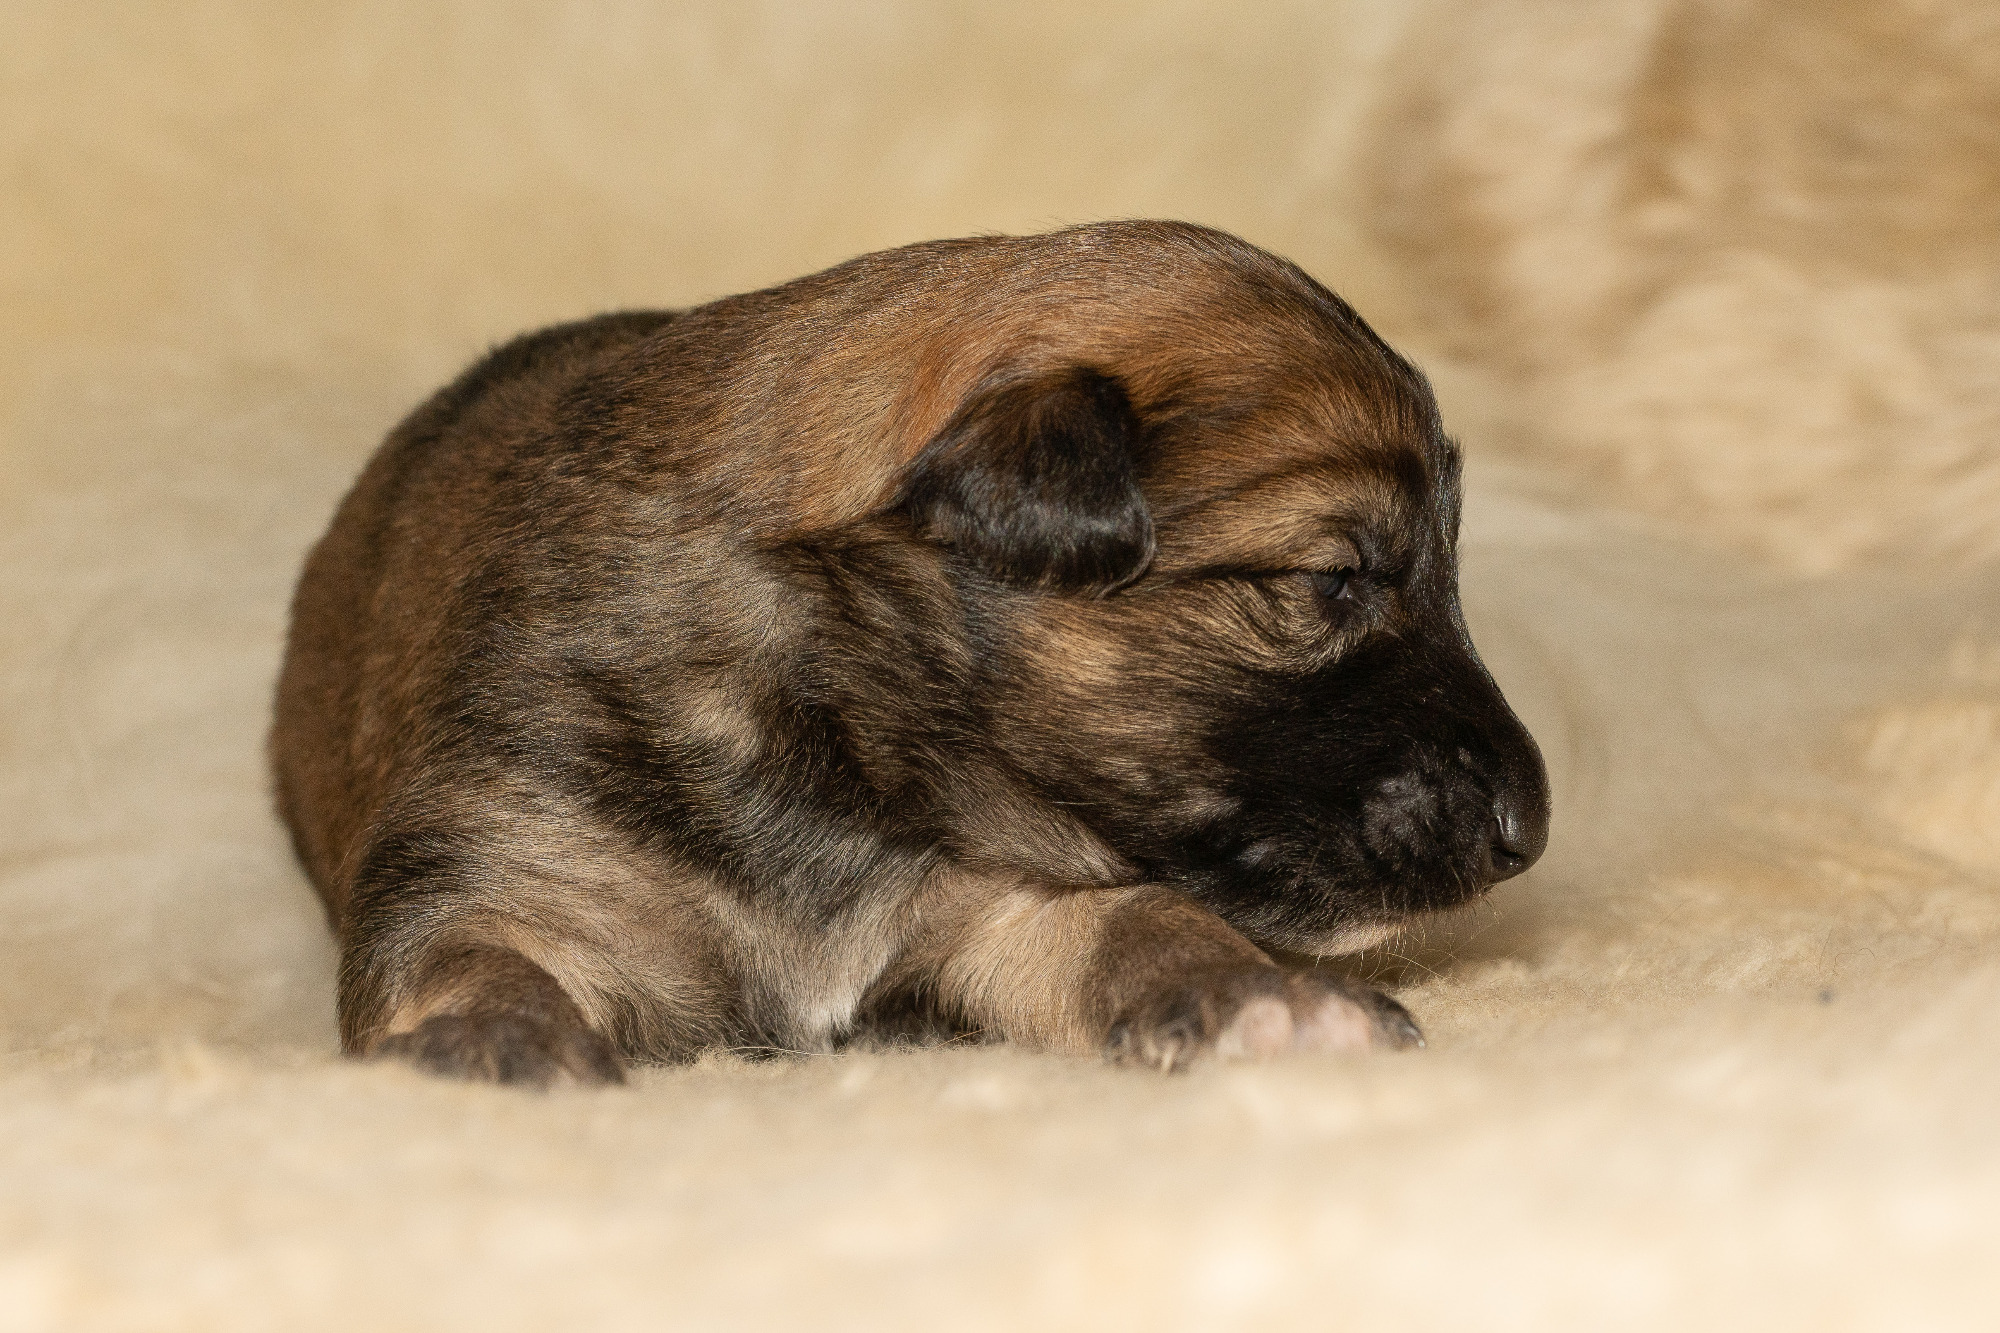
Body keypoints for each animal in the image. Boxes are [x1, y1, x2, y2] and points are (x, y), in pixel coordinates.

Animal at [272, 221, 1550, 1085]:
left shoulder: (1011, 908)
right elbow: (473, 958)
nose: (1526, 834)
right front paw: (496, 1042)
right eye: (1331, 581)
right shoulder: (505, 862)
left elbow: (1146, 922)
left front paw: (1269, 1002)